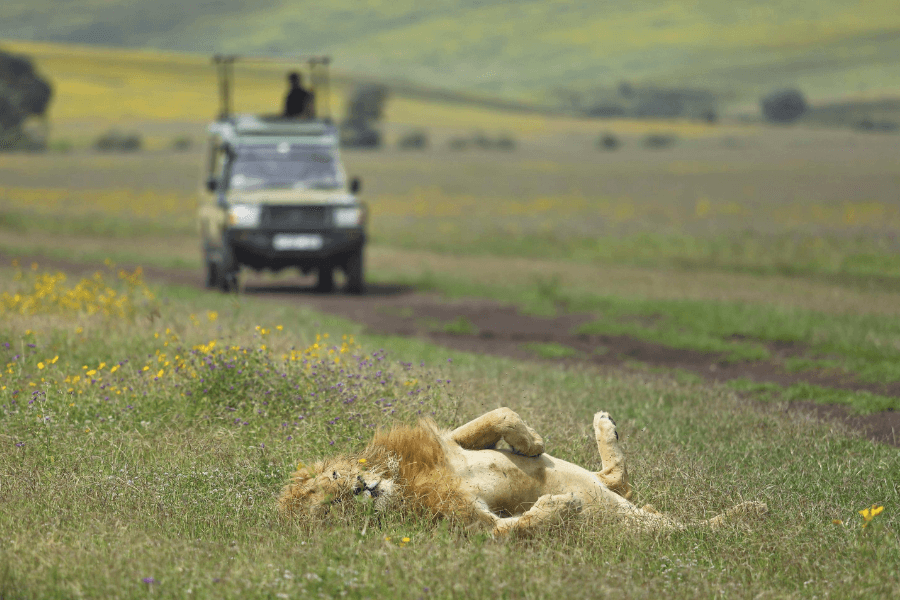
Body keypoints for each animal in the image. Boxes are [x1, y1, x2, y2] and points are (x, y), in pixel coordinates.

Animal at [278, 408, 767, 537]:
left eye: (334, 483)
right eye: (329, 511)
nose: (361, 489)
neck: (402, 484)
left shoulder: (450, 444)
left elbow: (497, 417)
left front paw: (530, 442)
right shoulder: (475, 526)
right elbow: (515, 527)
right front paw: (561, 507)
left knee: (616, 478)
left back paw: (604, 424)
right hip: (640, 527)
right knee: (689, 530)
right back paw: (750, 511)